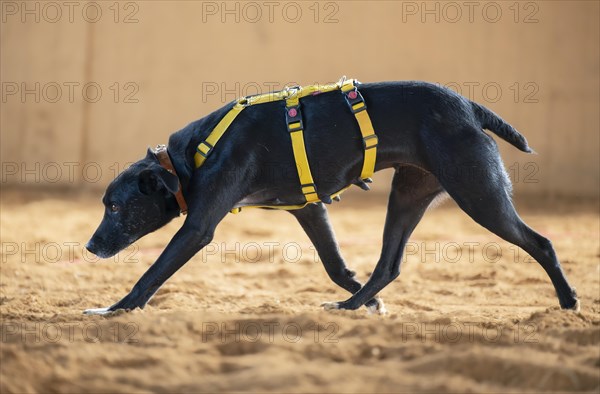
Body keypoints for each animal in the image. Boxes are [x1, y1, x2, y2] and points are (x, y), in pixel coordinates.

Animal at [83, 80, 576, 314]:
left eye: (114, 206)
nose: (89, 246)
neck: (190, 158)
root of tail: (471, 108)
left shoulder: (197, 228)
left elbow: (150, 276)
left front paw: (113, 310)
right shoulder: (309, 209)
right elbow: (336, 267)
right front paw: (365, 301)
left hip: (479, 195)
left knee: (542, 243)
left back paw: (569, 301)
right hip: (409, 197)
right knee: (389, 266)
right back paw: (353, 306)